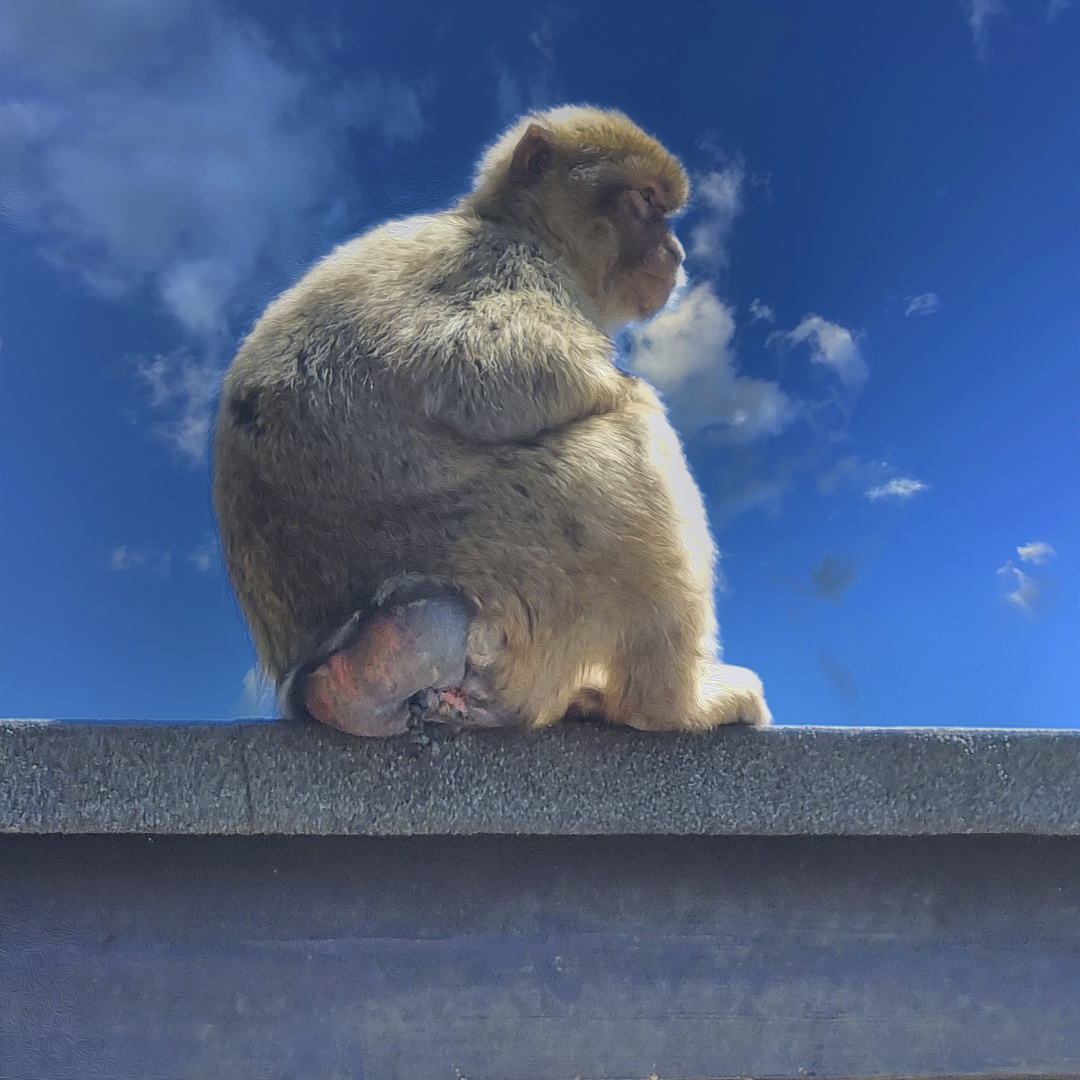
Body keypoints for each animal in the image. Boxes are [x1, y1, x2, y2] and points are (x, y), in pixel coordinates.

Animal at [212, 107, 768, 734]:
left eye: (663, 209)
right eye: (643, 200)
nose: (674, 250)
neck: (516, 224)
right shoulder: (512, 264)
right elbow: (487, 359)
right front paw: (612, 381)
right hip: (518, 563)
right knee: (636, 435)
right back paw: (673, 705)